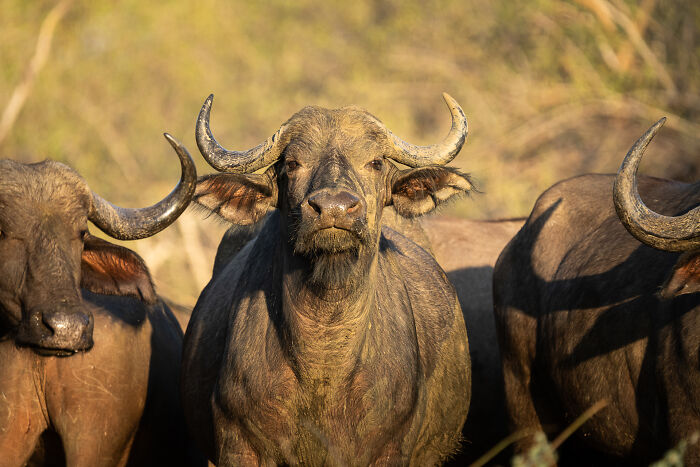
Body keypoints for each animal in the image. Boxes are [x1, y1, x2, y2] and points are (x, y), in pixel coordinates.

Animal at [182, 94, 473, 465]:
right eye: (292, 163)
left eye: (375, 162)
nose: (334, 209)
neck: (324, 361)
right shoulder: (237, 446)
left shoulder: (392, 448)